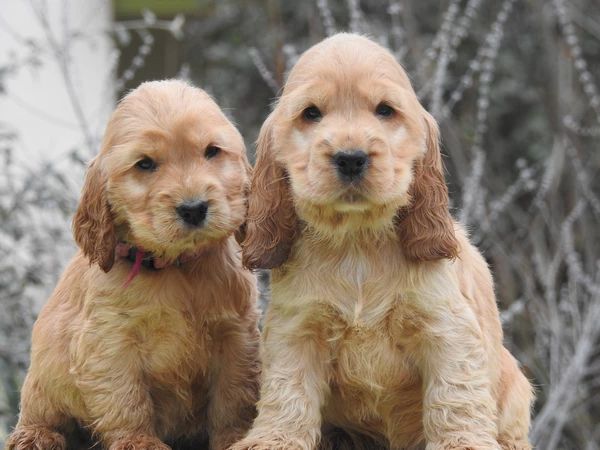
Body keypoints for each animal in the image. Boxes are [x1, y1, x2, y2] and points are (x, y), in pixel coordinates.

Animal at [7, 81, 260, 450]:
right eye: (145, 164)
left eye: (212, 151)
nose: (194, 208)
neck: (175, 267)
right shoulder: (110, 339)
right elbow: (126, 398)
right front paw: (139, 441)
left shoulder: (235, 334)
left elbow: (232, 398)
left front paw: (233, 438)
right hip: (43, 373)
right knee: (42, 412)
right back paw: (35, 435)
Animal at [234, 34, 536, 450]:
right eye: (311, 114)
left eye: (384, 110)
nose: (350, 158)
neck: (357, 241)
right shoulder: (297, 329)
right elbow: (288, 390)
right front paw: (273, 439)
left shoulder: (446, 328)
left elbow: (454, 395)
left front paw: (463, 442)